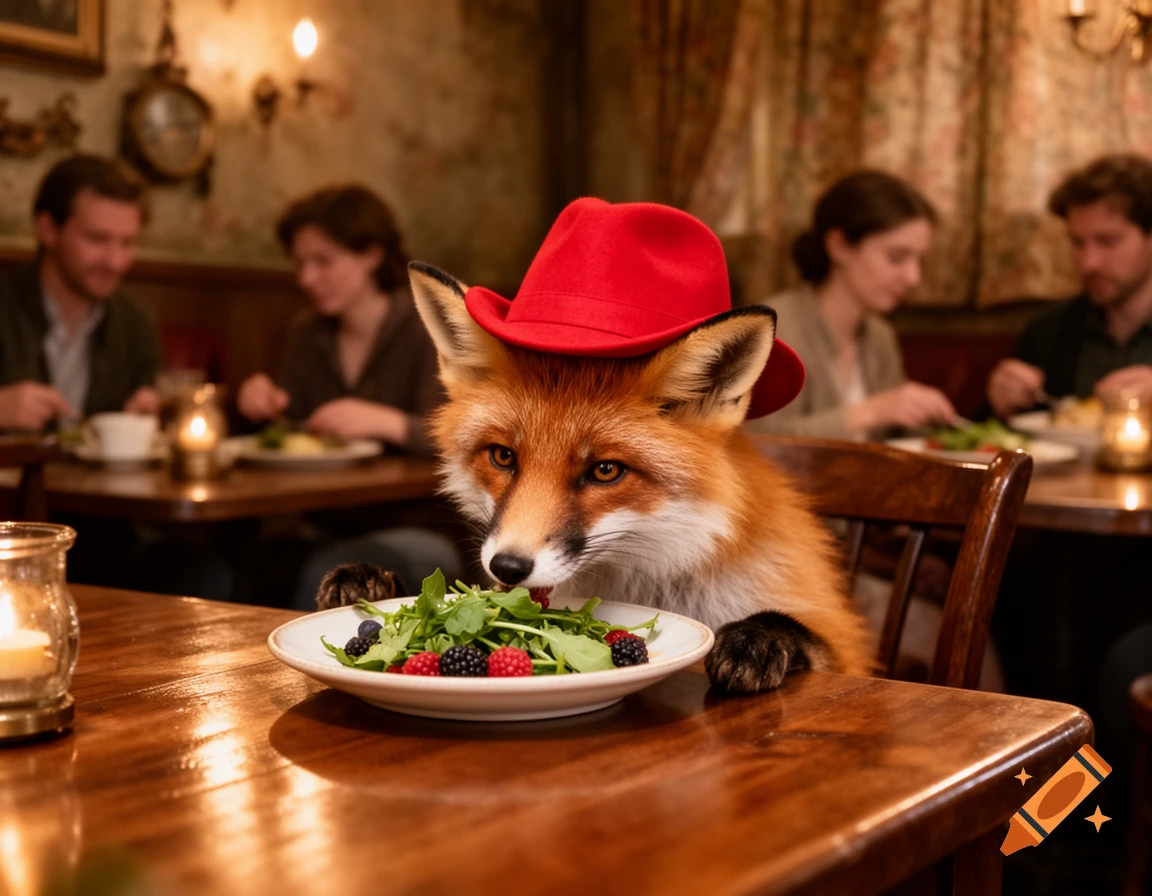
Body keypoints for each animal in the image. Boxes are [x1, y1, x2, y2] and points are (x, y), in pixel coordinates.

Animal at [406, 262, 875, 693]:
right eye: (503, 456)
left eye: (605, 470)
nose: (508, 567)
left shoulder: (843, 644)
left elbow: (805, 635)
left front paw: (756, 637)